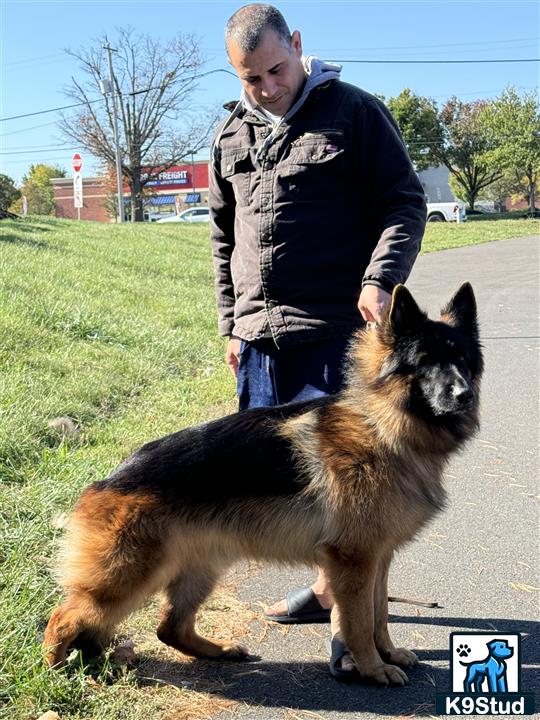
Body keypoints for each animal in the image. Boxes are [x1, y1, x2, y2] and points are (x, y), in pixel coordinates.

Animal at [44, 282, 484, 688]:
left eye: (461, 360)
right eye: (425, 362)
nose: (464, 395)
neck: (383, 425)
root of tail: (108, 480)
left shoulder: (379, 557)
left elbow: (379, 615)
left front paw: (387, 654)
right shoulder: (355, 561)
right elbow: (359, 622)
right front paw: (373, 669)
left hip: (201, 568)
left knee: (169, 628)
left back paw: (215, 651)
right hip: (129, 577)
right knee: (64, 617)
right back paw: (54, 671)